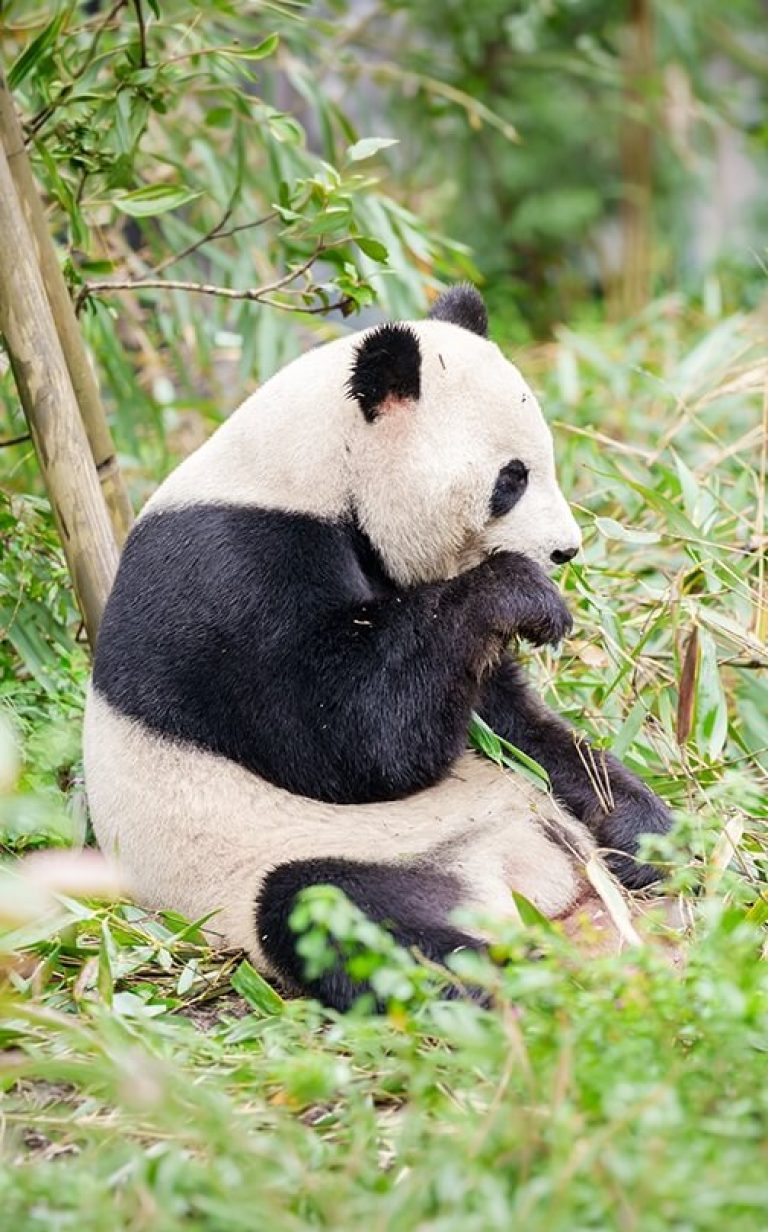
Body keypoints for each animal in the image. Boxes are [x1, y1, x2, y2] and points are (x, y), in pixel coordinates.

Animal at [83, 285, 672, 1010]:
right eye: (511, 479)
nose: (566, 551)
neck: (314, 469)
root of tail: (520, 878)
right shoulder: (228, 575)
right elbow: (350, 738)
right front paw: (525, 597)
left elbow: (499, 714)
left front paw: (642, 816)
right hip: (300, 858)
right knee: (327, 908)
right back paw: (494, 976)